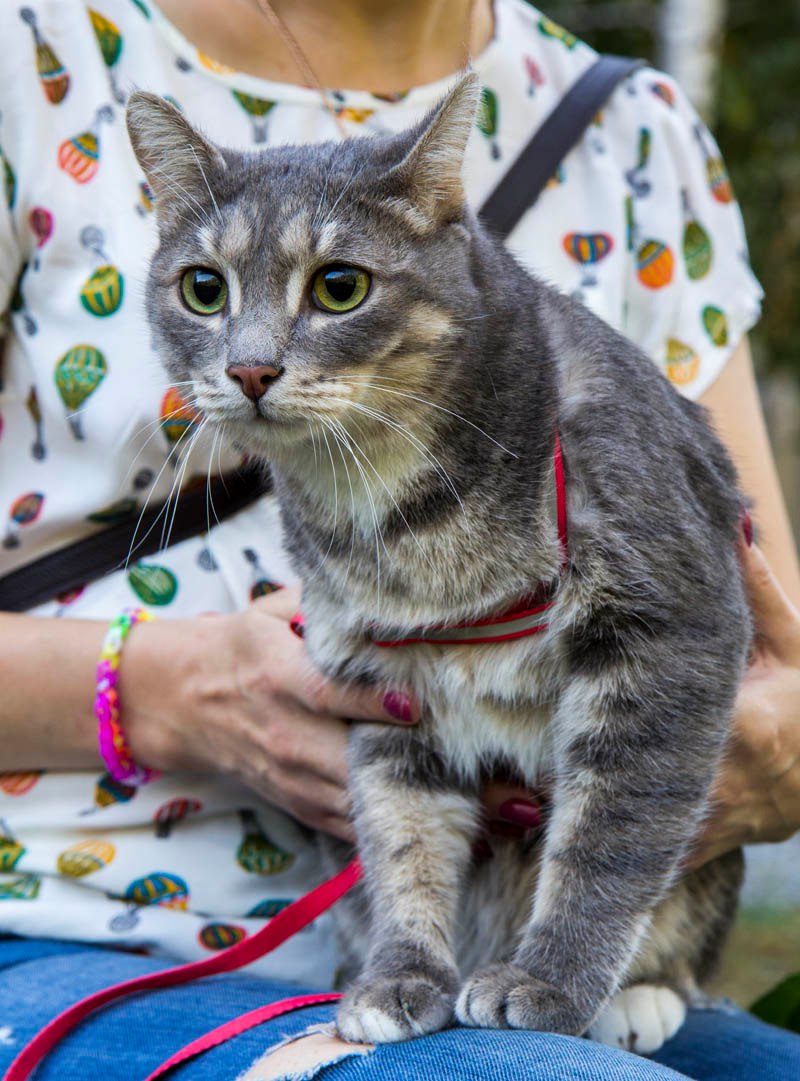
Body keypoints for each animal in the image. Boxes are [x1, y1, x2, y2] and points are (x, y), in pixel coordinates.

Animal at [129, 78, 748, 1055]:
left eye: (340, 286)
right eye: (202, 288)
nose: (252, 368)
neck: (402, 526)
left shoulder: (669, 628)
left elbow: (610, 831)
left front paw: (549, 981)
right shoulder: (389, 686)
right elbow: (404, 837)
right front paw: (401, 976)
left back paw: (642, 996)